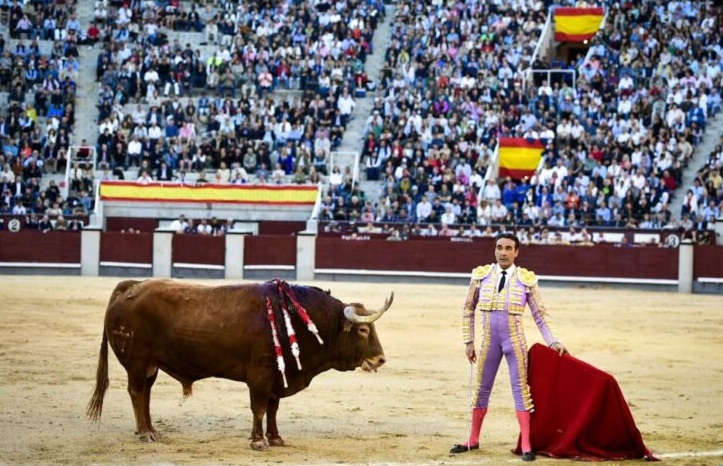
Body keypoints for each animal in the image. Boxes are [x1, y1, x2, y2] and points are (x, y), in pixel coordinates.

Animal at [87, 278, 394, 450]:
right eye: (363, 330)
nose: (380, 359)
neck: (296, 318)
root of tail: (130, 288)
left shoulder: (278, 376)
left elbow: (273, 409)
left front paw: (276, 438)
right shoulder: (260, 376)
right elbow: (259, 408)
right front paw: (258, 441)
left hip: (151, 365)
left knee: (145, 394)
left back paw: (151, 430)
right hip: (138, 362)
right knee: (137, 392)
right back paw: (145, 434)